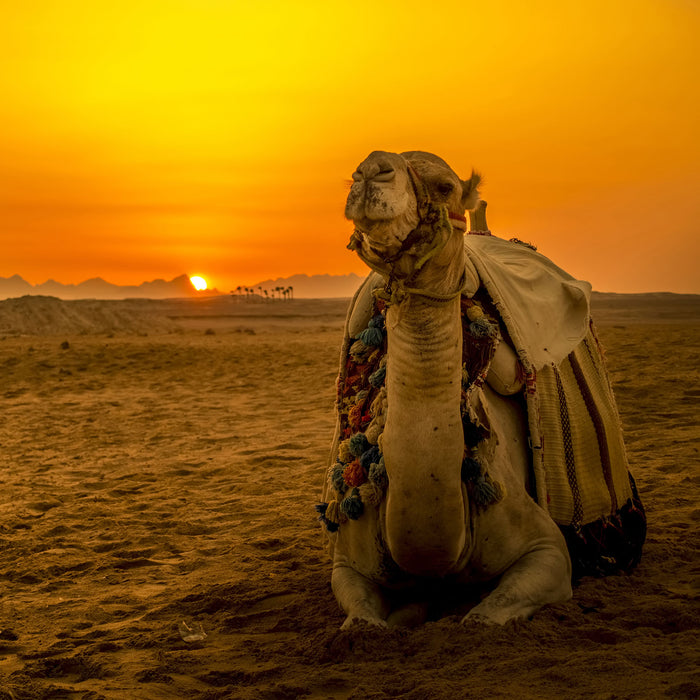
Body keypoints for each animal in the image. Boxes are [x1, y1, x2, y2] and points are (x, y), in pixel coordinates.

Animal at [318, 149, 644, 628]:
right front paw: (402, 614)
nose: (371, 170)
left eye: (445, 186)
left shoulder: (547, 550)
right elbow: (361, 622)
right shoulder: (348, 562)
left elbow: (481, 619)